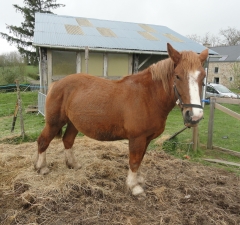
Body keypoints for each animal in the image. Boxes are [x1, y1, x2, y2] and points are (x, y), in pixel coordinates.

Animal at [35, 43, 208, 196]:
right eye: (177, 76)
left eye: (203, 77)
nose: (194, 116)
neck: (148, 96)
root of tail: (56, 83)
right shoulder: (137, 138)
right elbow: (134, 160)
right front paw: (134, 187)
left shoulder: (146, 139)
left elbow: (140, 159)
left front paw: (139, 180)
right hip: (54, 123)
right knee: (43, 141)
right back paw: (41, 167)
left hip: (73, 123)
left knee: (68, 140)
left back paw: (73, 164)